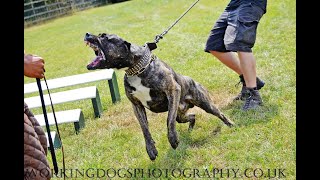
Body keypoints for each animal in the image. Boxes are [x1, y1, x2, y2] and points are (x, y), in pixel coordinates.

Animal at [84, 32, 235, 160]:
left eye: (104, 36)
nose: (87, 34)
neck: (136, 69)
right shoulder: (136, 105)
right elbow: (144, 128)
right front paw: (150, 149)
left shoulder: (172, 91)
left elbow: (169, 120)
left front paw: (173, 139)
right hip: (181, 115)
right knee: (192, 116)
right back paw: (190, 128)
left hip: (205, 104)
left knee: (219, 113)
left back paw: (231, 125)